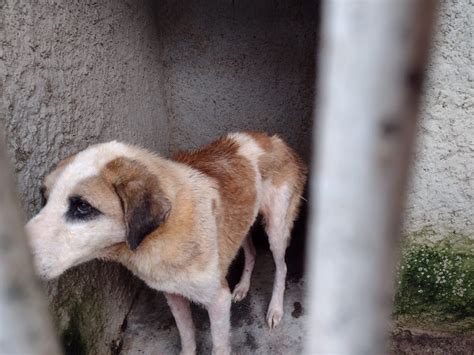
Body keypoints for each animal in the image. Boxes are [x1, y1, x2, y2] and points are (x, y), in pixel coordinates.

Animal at [25, 132, 308, 354]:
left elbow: (219, 345)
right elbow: (187, 337)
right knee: (250, 251)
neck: (165, 231)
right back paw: (242, 286)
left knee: (281, 266)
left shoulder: (218, 300)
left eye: (82, 206)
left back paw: (275, 309)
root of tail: (273, 139)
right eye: (44, 198)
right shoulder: (173, 294)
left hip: (276, 227)